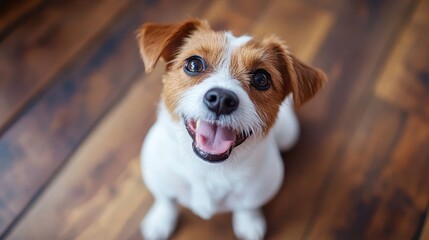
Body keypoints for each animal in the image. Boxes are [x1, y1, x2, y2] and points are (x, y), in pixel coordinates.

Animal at [137, 19, 324, 240]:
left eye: (262, 79)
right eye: (194, 64)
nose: (221, 99)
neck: (209, 170)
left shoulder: (259, 190)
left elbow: (248, 206)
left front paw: (249, 222)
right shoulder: (159, 177)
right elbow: (166, 200)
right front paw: (160, 220)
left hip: (289, 134)